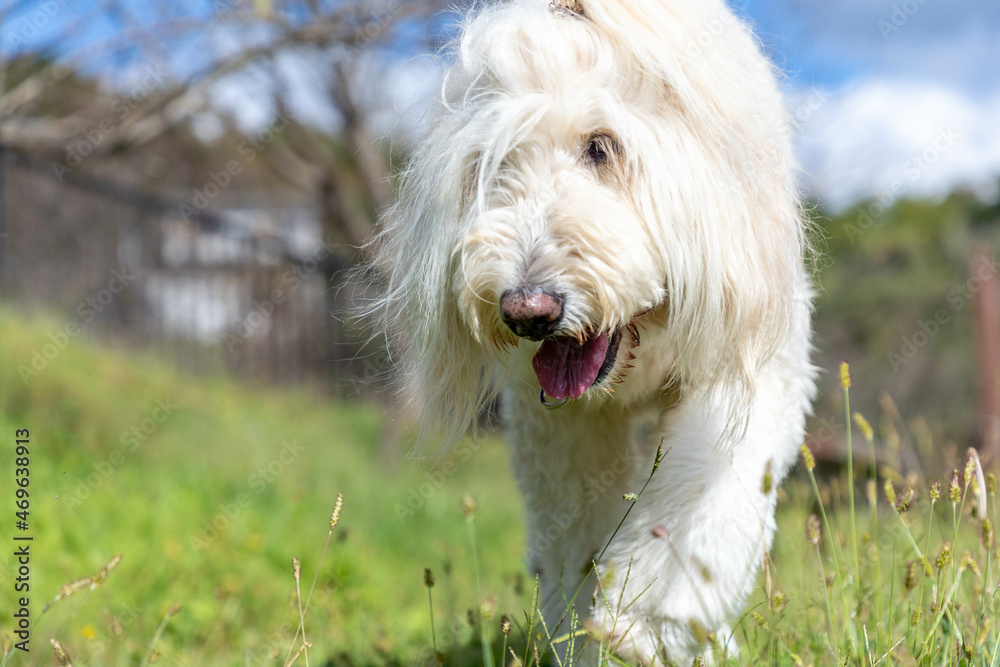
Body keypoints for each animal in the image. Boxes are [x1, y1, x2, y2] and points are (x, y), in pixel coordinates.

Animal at [372, 0, 816, 660]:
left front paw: (643, 623)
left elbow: (698, 501)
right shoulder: (561, 425)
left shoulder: (752, 365)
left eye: (601, 147)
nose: (526, 311)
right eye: (493, 163)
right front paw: (584, 635)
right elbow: (574, 534)